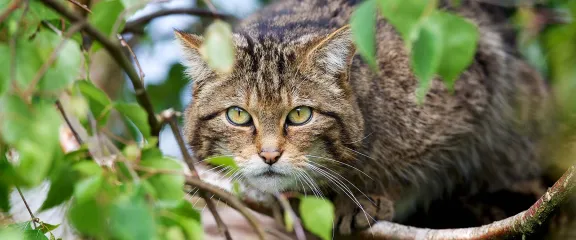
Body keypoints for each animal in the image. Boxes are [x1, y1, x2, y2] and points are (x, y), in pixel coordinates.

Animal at [177, 0, 552, 235]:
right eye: (238, 115)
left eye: (299, 115)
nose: (269, 155)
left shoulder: (467, 104)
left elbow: (420, 171)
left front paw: (369, 196)